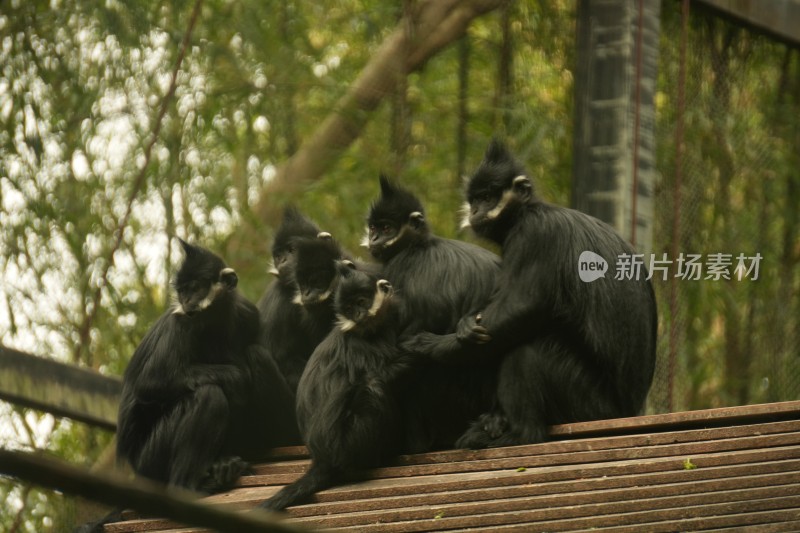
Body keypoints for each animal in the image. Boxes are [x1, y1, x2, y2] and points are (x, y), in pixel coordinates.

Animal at [119, 239, 304, 492]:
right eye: (182, 292)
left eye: (195, 288)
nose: (187, 302)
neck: (212, 322)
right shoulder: (180, 322)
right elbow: (150, 382)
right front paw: (236, 376)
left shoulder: (247, 313)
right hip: (151, 457)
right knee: (209, 395)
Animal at [260, 266, 416, 512]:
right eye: (349, 309)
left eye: (361, 302)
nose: (358, 315)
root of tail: (322, 459)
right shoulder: (363, 346)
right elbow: (389, 373)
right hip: (349, 445)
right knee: (373, 385)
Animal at [406, 139, 656, 446]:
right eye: (475, 200)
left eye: (488, 198)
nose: (475, 211)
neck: (527, 211)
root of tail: (629, 410)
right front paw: (465, 323)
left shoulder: (535, 234)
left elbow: (522, 306)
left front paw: (433, 346)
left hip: (590, 405)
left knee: (530, 348)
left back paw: (521, 433)